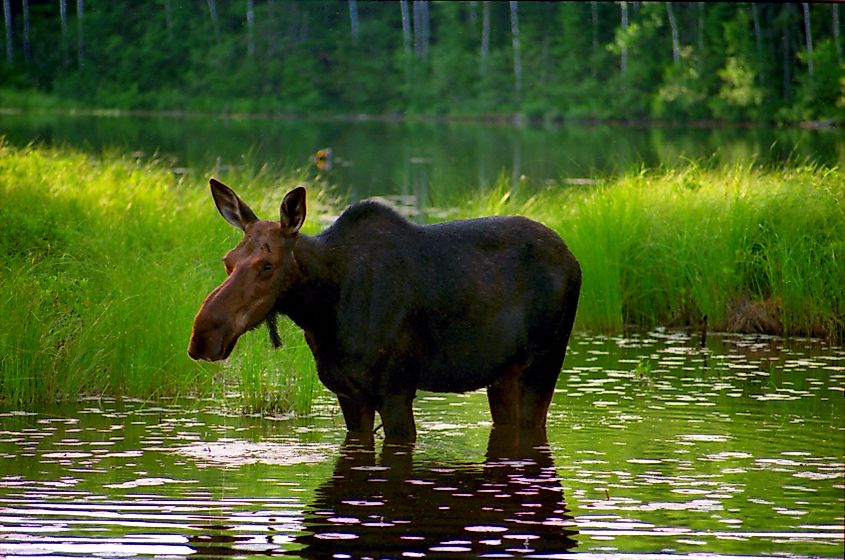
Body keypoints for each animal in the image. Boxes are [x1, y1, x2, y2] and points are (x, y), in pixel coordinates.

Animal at [187, 179, 576, 442]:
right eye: (228, 261)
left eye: (267, 265)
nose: (203, 334)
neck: (322, 311)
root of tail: (574, 260)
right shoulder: (347, 394)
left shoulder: (396, 390)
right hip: (503, 377)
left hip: (542, 366)